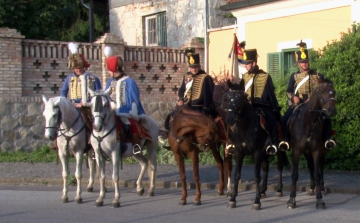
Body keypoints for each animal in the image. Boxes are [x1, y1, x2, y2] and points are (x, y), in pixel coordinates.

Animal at [226, 79, 288, 210]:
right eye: (227, 97)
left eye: (240, 98)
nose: (229, 119)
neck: (246, 128)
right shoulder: (239, 153)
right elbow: (237, 175)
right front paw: (233, 199)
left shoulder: (257, 153)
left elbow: (256, 176)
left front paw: (256, 201)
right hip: (265, 153)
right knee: (266, 167)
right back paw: (263, 191)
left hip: (278, 151)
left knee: (279, 167)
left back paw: (279, 189)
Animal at [286, 78, 336, 209]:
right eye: (322, 91)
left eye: (334, 92)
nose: (332, 111)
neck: (308, 123)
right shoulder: (297, 151)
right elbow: (295, 174)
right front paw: (291, 199)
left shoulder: (317, 151)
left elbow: (317, 173)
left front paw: (320, 200)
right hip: (307, 152)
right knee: (310, 166)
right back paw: (311, 188)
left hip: (322, 151)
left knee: (320, 167)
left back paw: (321, 188)